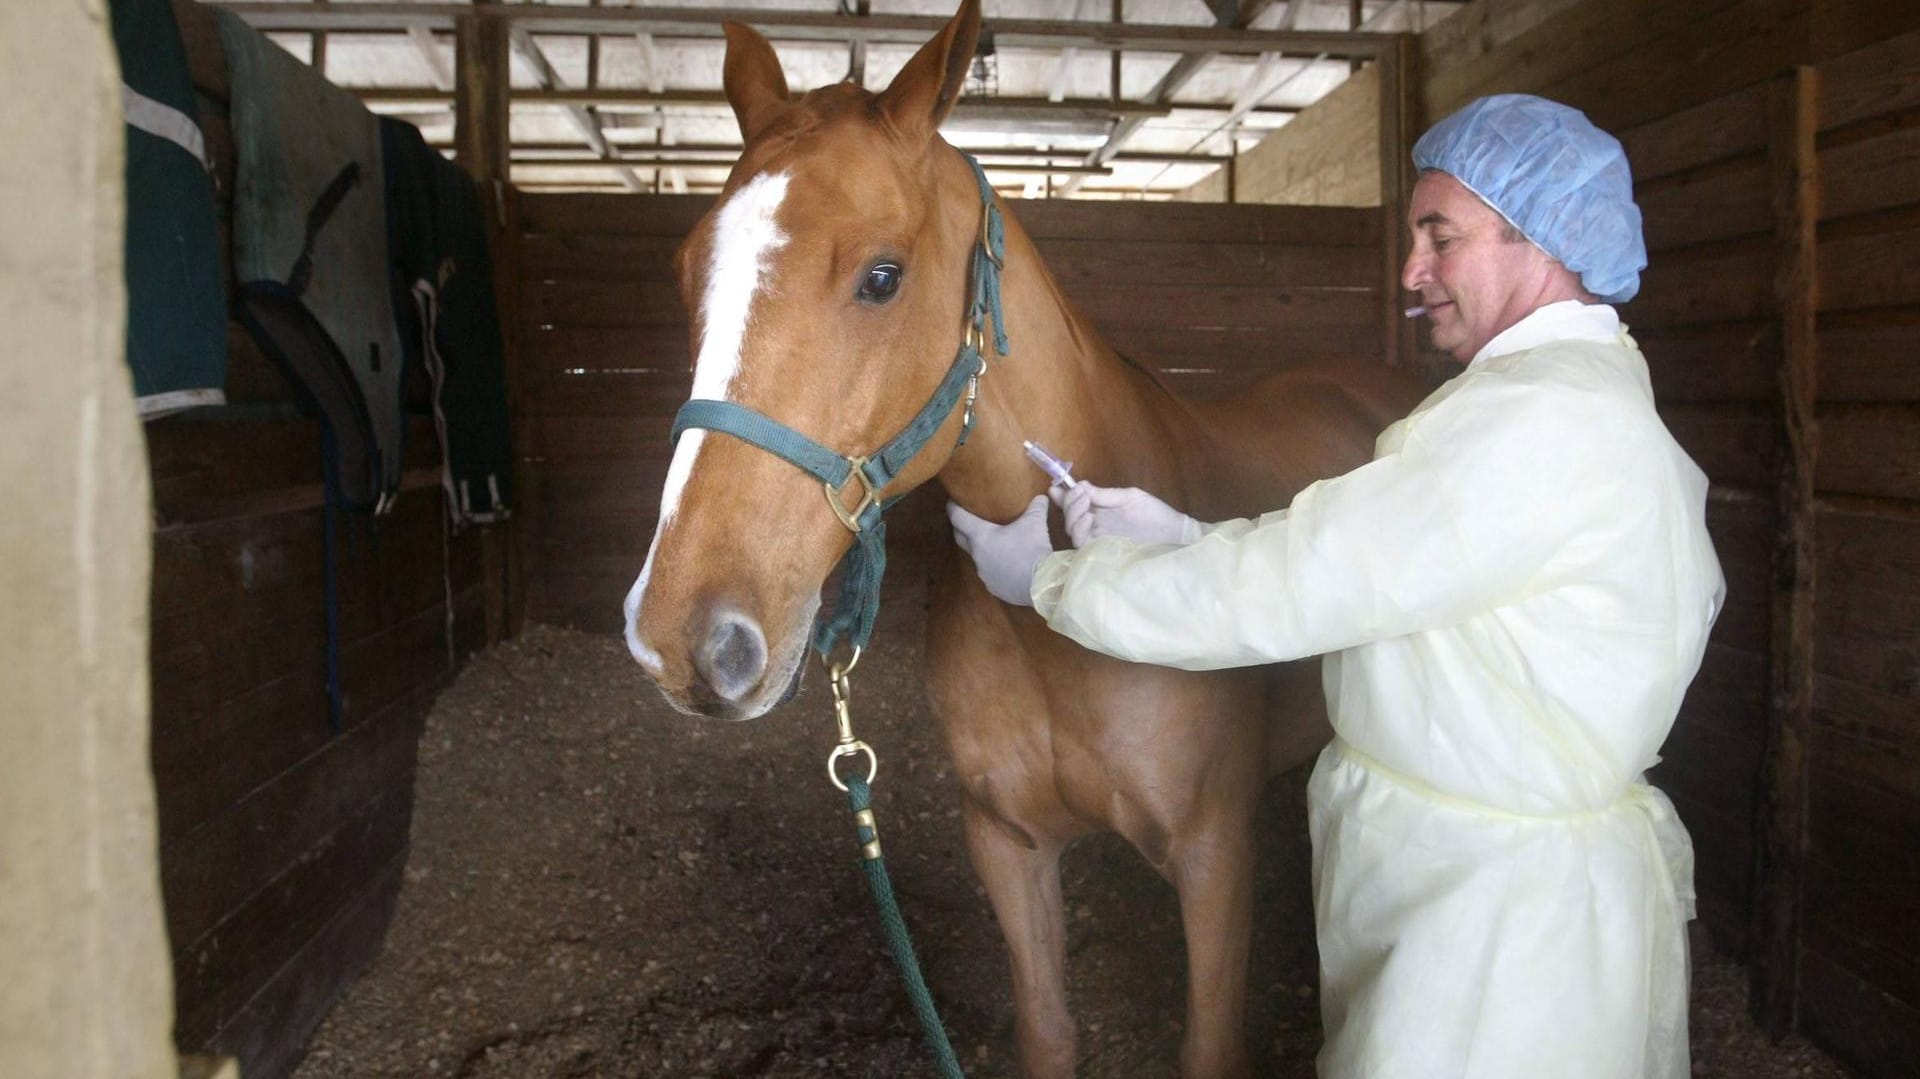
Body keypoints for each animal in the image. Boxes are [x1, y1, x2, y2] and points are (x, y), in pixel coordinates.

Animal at [625, 4, 1428, 1067]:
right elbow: (1047, 1030)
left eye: (883, 276)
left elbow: (1208, 1042)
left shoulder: (1215, 854)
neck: (1052, 632)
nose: (681, 636)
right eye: (684, 275)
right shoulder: (1006, 844)